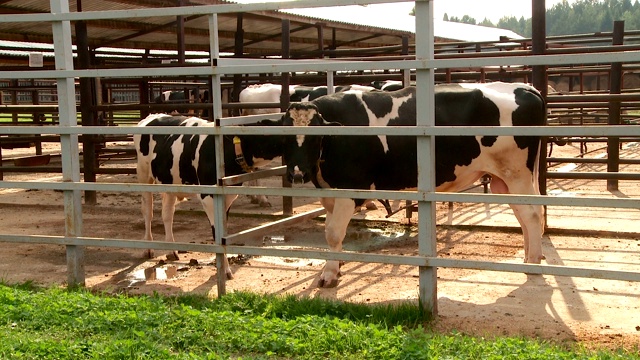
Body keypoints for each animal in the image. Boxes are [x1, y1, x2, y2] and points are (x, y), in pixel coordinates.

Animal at [134, 114, 282, 280]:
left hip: (170, 181)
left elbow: (223, 231)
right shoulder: (209, 197)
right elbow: (216, 232)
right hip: (144, 175)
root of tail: (153, 116)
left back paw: (172, 250)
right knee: (148, 211)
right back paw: (148, 247)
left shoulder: (228, 196)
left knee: (167, 214)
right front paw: (225, 271)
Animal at [282, 82, 548, 286]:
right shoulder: (329, 192)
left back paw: (533, 262)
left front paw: (328, 275)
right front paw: (335, 265)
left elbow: (333, 233)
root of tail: (525, 87)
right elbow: (330, 231)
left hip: (517, 173)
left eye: (314, 137)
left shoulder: (350, 189)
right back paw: (528, 257)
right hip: (505, 180)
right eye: (285, 135)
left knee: (532, 214)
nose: (297, 173)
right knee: (524, 214)